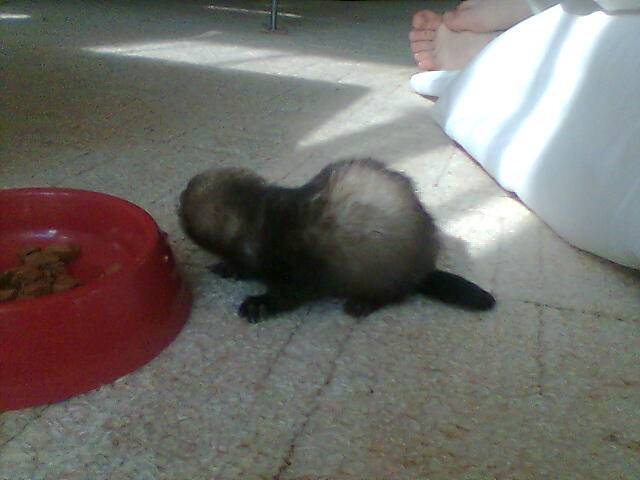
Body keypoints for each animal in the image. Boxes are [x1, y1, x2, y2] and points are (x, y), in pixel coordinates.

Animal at [179, 158, 495, 322]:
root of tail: (424, 267)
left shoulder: (301, 268)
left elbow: (290, 294)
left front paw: (258, 304)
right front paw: (227, 267)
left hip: (382, 275)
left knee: (395, 295)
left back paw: (362, 304)